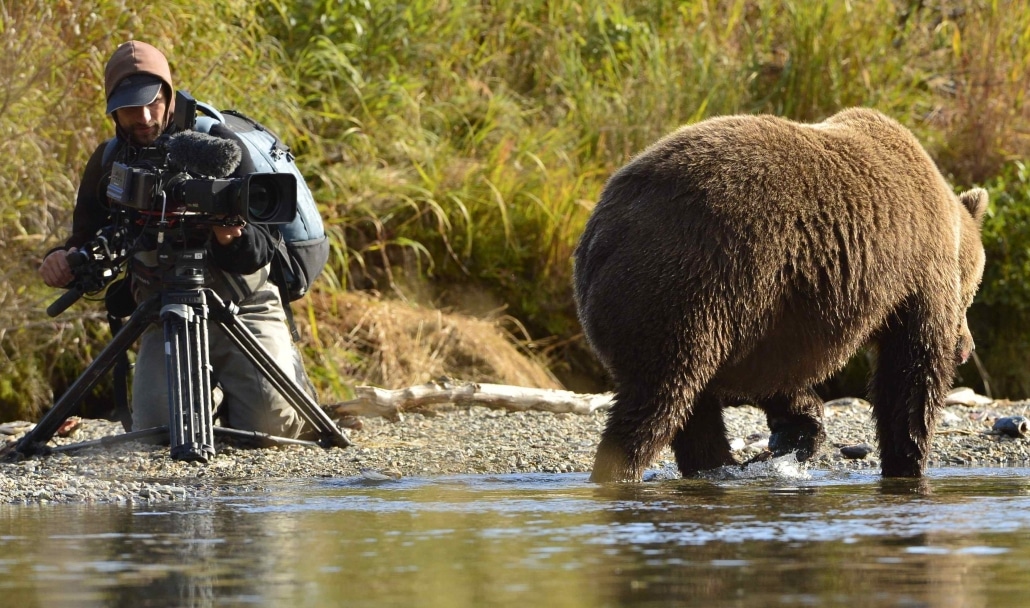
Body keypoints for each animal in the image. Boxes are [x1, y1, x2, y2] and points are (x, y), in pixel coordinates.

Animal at [576, 107, 984, 484]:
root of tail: (601, 232)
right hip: (686, 284)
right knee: (658, 397)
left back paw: (716, 466)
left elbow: (776, 372)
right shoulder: (915, 277)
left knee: (694, 406)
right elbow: (911, 374)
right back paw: (622, 470)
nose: (967, 347)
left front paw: (797, 430)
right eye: (971, 296)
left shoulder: (779, 309)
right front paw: (907, 462)